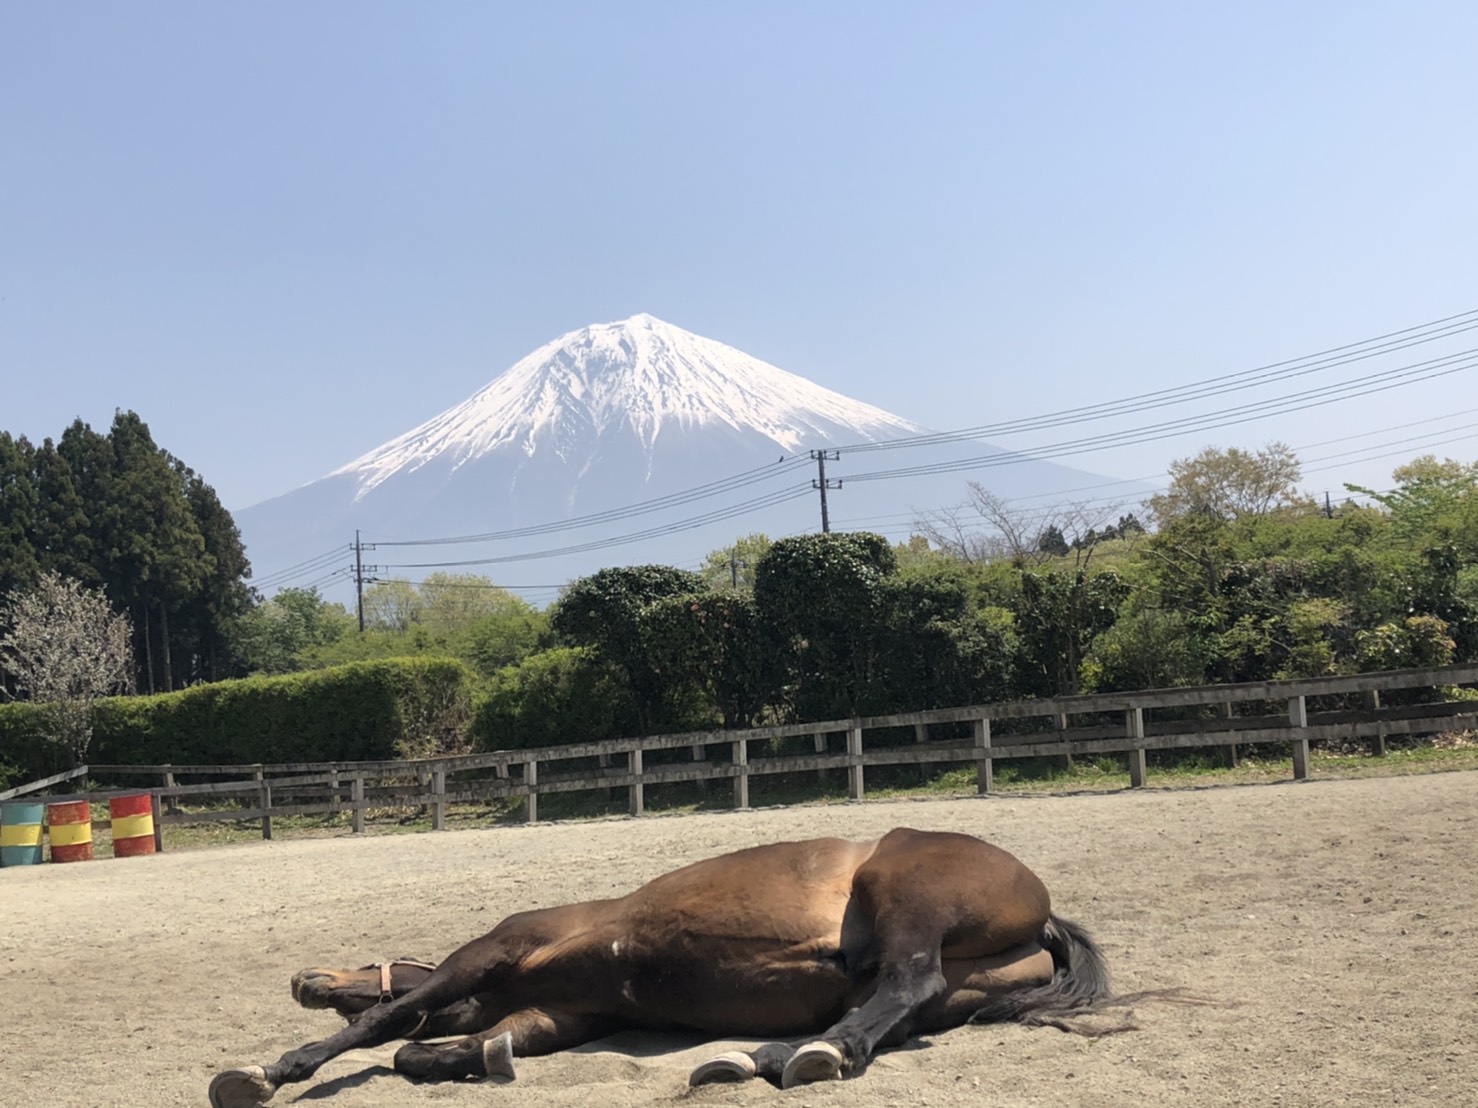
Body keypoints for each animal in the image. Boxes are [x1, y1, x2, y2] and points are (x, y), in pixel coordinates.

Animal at [208, 826, 1128, 1106]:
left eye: (357, 959)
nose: (303, 981)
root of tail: (1042, 908)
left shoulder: (496, 948)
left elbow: (391, 1018)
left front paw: (278, 1067)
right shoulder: (562, 1014)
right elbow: (433, 1046)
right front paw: (476, 1057)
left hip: (907, 893)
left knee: (908, 980)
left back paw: (798, 1056)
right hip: (943, 982)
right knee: (889, 1012)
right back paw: (763, 1057)